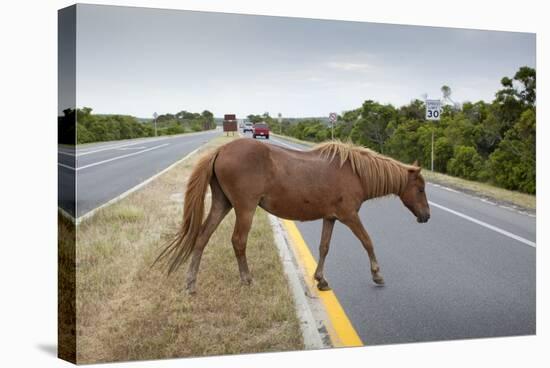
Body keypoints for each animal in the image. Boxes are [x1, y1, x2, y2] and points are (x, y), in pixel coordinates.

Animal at [154, 137, 432, 294]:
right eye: (420, 189)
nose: (426, 216)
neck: (355, 173)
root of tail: (221, 150)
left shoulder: (330, 217)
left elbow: (324, 247)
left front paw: (320, 280)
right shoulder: (349, 216)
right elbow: (368, 241)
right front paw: (377, 274)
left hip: (222, 205)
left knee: (202, 238)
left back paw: (191, 284)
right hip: (245, 208)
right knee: (238, 241)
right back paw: (247, 280)